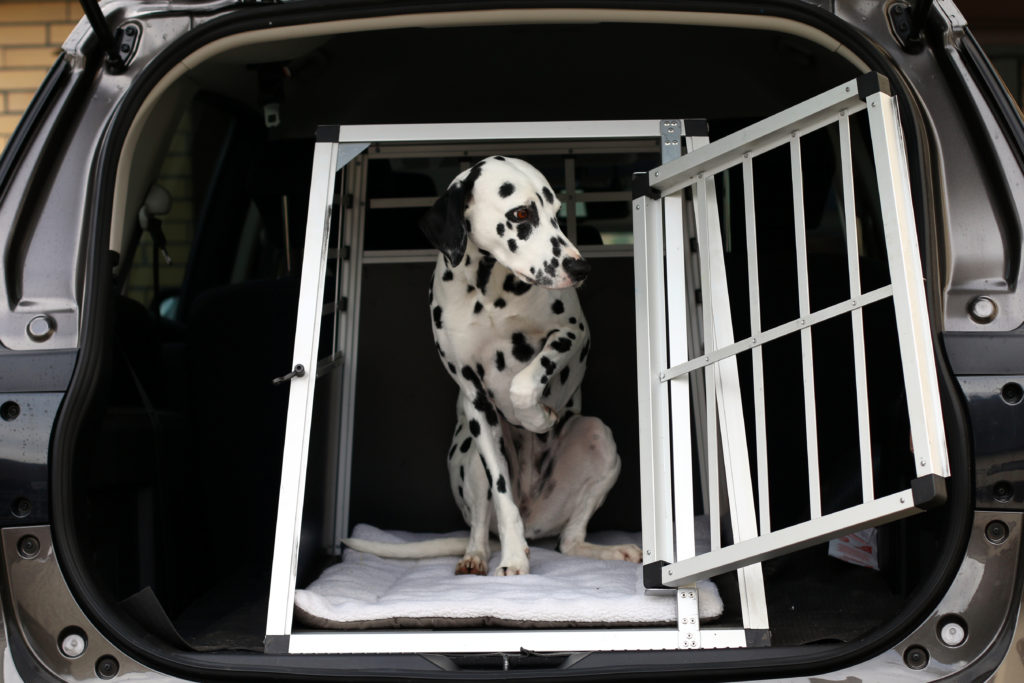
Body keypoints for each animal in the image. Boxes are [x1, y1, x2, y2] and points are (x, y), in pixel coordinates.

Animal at [344, 158, 638, 577]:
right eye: (521, 214)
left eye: (556, 213)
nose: (580, 268)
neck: (491, 289)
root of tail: (537, 521)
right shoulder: (476, 400)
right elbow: (502, 495)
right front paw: (514, 557)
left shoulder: (572, 334)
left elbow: (524, 383)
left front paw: (538, 418)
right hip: (469, 454)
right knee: (481, 527)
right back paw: (477, 555)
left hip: (599, 439)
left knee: (569, 541)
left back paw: (608, 551)